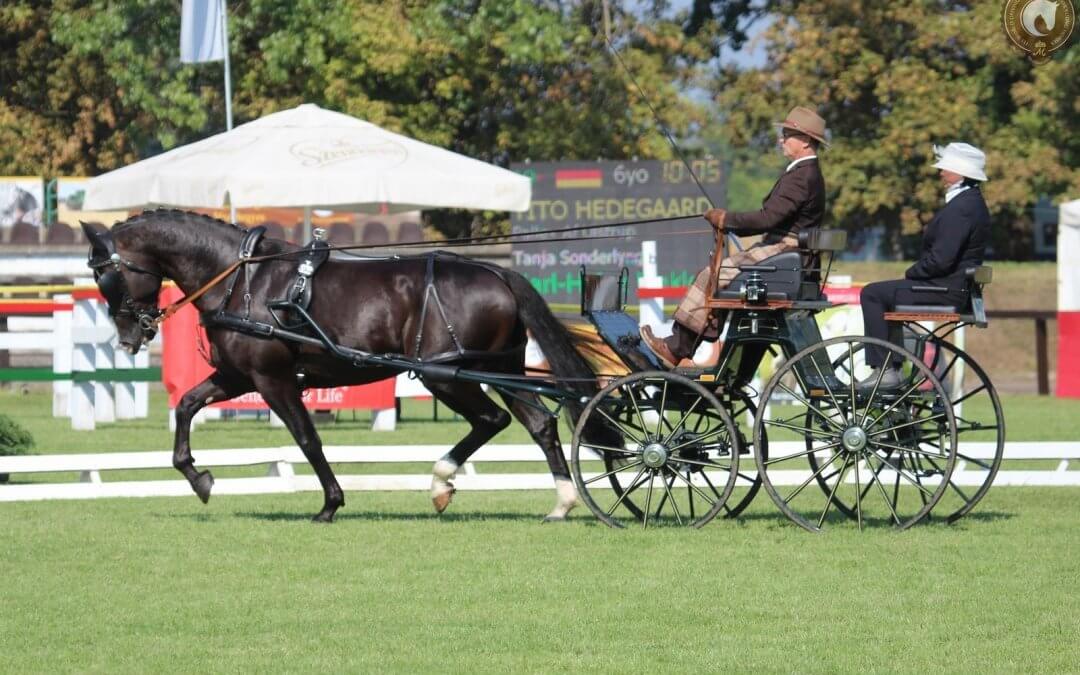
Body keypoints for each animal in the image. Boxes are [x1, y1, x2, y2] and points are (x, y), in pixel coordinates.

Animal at [80, 210, 608, 523]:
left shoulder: (271, 379)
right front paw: (200, 478)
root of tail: (496, 271)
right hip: (501, 370)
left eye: (107, 276)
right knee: (538, 423)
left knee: (493, 418)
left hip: (446, 376)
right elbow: (188, 405)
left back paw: (443, 482)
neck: (243, 280)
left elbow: (307, 438)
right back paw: (559, 502)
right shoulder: (236, 376)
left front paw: (330, 505)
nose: (130, 337)